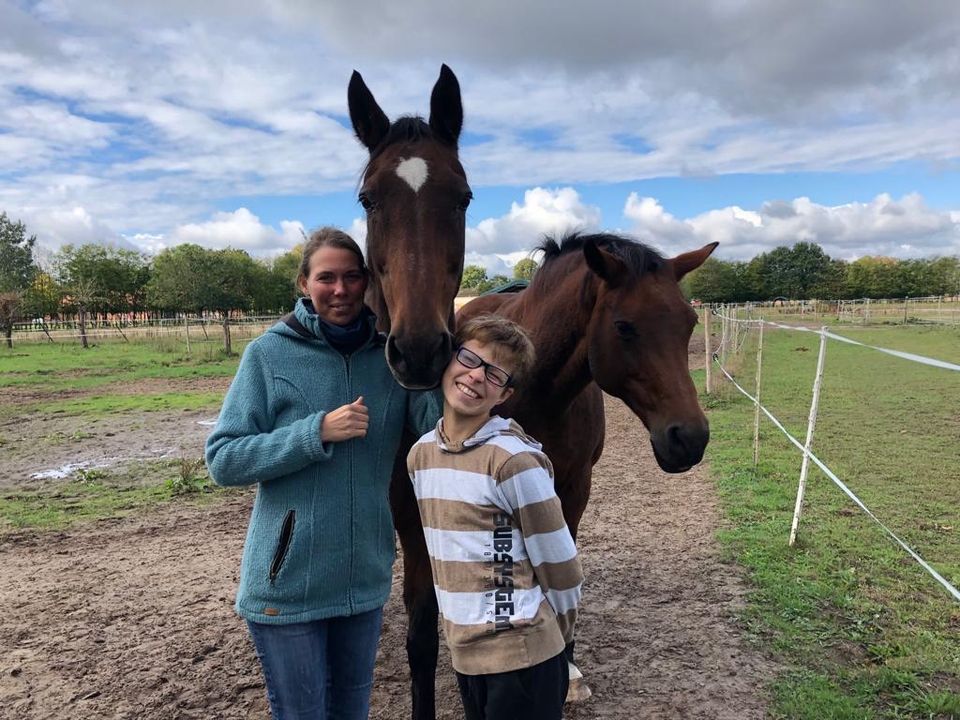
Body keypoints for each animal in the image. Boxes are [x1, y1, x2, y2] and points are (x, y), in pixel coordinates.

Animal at [396, 231, 712, 716]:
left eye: (688, 322)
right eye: (624, 326)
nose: (690, 438)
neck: (539, 392)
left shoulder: (572, 490)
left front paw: (569, 668)